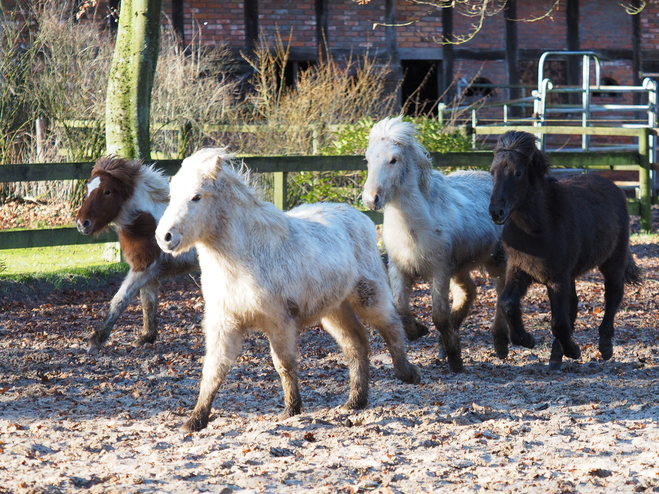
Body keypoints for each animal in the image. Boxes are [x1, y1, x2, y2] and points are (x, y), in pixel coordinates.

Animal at [75, 156, 197, 354]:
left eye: (107, 191)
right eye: (87, 189)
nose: (82, 223)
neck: (148, 224)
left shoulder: (143, 269)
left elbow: (120, 300)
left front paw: (96, 340)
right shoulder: (150, 273)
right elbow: (147, 302)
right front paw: (146, 337)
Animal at [157, 148, 420, 432]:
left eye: (196, 196)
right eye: (172, 194)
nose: (164, 237)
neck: (245, 257)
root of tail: (361, 217)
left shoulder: (279, 322)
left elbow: (283, 364)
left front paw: (291, 410)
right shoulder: (224, 323)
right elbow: (214, 370)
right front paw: (195, 420)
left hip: (367, 296)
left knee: (391, 325)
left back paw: (407, 374)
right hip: (334, 310)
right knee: (356, 342)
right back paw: (355, 402)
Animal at [364, 116, 512, 370]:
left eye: (393, 159)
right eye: (367, 159)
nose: (370, 199)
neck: (414, 227)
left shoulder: (439, 271)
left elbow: (439, 317)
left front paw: (456, 360)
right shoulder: (399, 269)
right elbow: (400, 308)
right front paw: (419, 332)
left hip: (495, 260)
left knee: (499, 292)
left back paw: (499, 344)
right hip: (460, 267)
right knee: (468, 291)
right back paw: (444, 345)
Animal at [490, 131, 640, 370]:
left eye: (518, 173)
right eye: (492, 172)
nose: (496, 212)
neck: (537, 229)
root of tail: (612, 186)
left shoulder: (557, 279)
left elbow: (558, 322)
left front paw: (574, 351)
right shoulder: (520, 269)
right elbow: (508, 303)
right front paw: (527, 340)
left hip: (613, 260)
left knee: (613, 294)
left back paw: (604, 346)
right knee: (574, 304)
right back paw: (556, 356)